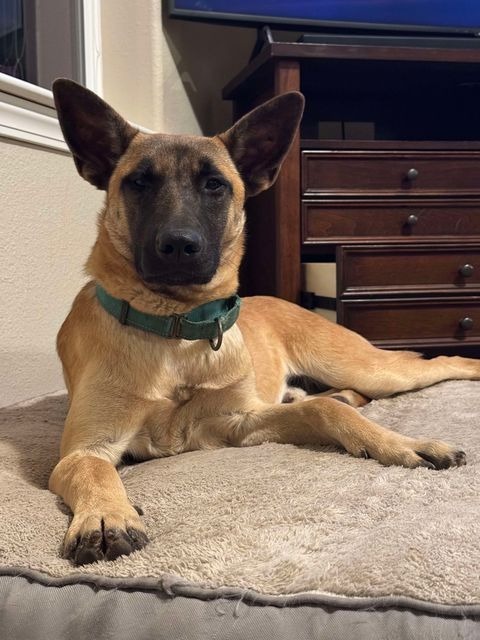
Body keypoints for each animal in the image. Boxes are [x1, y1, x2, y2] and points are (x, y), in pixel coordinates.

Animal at [50, 79, 478, 564]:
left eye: (215, 185)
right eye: (138, 182)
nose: (178, 245)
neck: (175, 329)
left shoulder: (237, 420)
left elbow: (325, 410)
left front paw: (405, 444)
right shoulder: (86, 449)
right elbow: (93, 470)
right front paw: (106, 515)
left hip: (368, 367)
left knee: (438, 363)